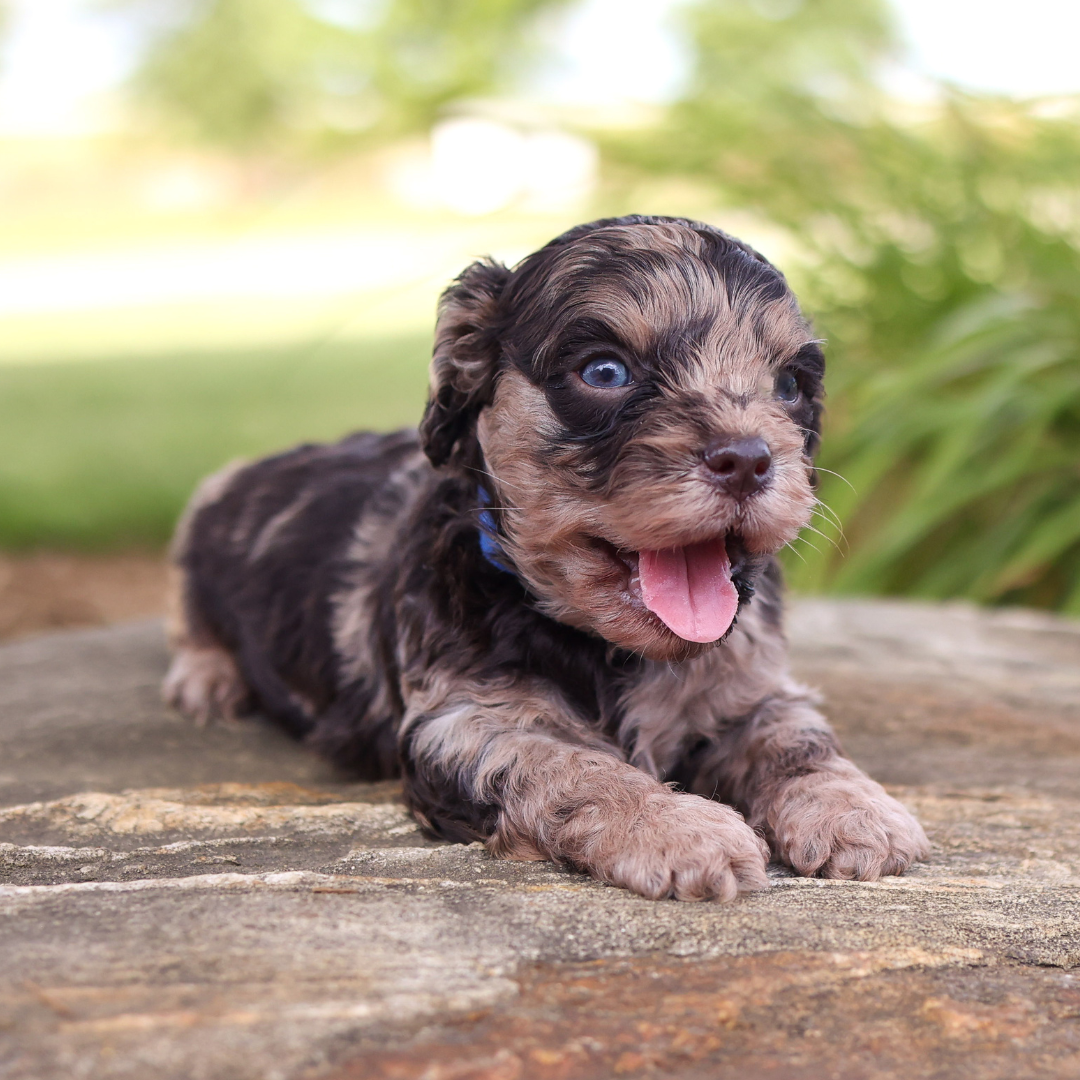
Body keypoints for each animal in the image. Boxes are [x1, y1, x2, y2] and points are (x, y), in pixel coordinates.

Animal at [162, 214, 928, 898]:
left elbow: (796, 737)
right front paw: (679, 829)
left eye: (791, 385)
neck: (613, 651)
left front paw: (856, 812)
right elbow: (570, 766)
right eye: (605, 371)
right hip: (200, 521)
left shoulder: (751, 687)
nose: (747, 460)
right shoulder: (466, 721)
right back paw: (206, 678)